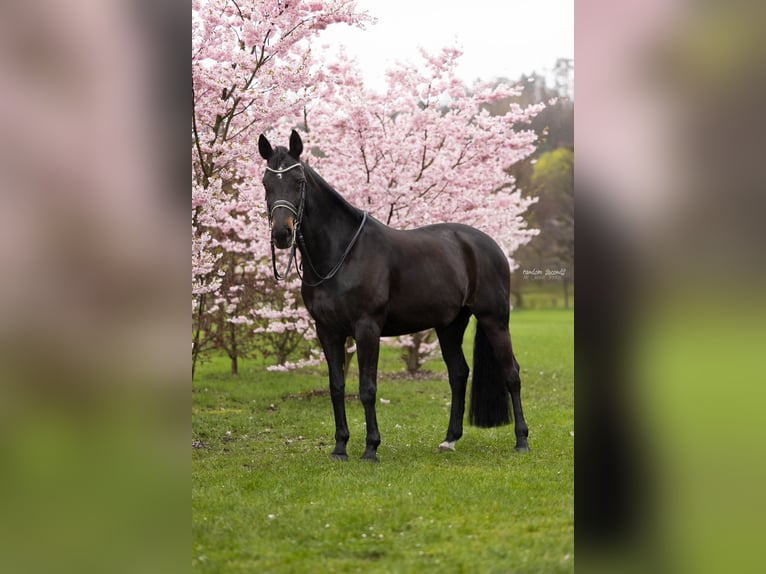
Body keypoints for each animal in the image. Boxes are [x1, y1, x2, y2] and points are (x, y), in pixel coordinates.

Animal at [258, 130, 529, 462]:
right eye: (266, 183)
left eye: (298, 181)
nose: (281, 234)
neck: (341, 253)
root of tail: (489, 245)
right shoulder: (328, 331)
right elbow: (337, 386)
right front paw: (340, 447)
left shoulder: (367, 328)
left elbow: (367, 388)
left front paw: (371, 448)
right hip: (449, 325)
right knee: (458, 374)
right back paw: (450, 439)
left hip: (494, 319)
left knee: (511, 373)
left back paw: (521, 440)